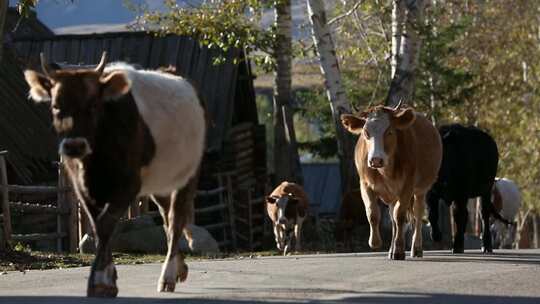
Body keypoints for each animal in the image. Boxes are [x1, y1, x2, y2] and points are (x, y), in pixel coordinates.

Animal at [23, 52, 206, 296]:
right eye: (55, 106)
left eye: (93, 105)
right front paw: (107, 277)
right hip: (160, 180)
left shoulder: (128, 184)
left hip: (188, 175)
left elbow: (104, 225)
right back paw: (180, 267)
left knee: (176, 219)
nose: (74, 146)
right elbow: (98, 227)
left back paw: (167, 276)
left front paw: (101, 281)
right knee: (167, 217)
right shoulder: (82, 188)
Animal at [342, 101, 442, 260]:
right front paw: (375, 242)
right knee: (393, 219)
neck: (386, 170)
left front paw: (399, 250)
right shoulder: (365, 184)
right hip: (393, 196)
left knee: (417, 214)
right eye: (366, 132)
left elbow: (400, 216)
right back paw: (391, 249)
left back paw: (416, 248)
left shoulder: (407, 186)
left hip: (421, 190)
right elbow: (373, 213)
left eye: (389, 132)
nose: (376, 160)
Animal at [426, 123, 506, 254]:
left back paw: (486, 246)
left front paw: (457, 246)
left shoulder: (461, 193)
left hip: (486, 190)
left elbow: (459, 216)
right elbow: (432, 214)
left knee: (484, 214)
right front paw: (436, 236)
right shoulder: (430, 194)